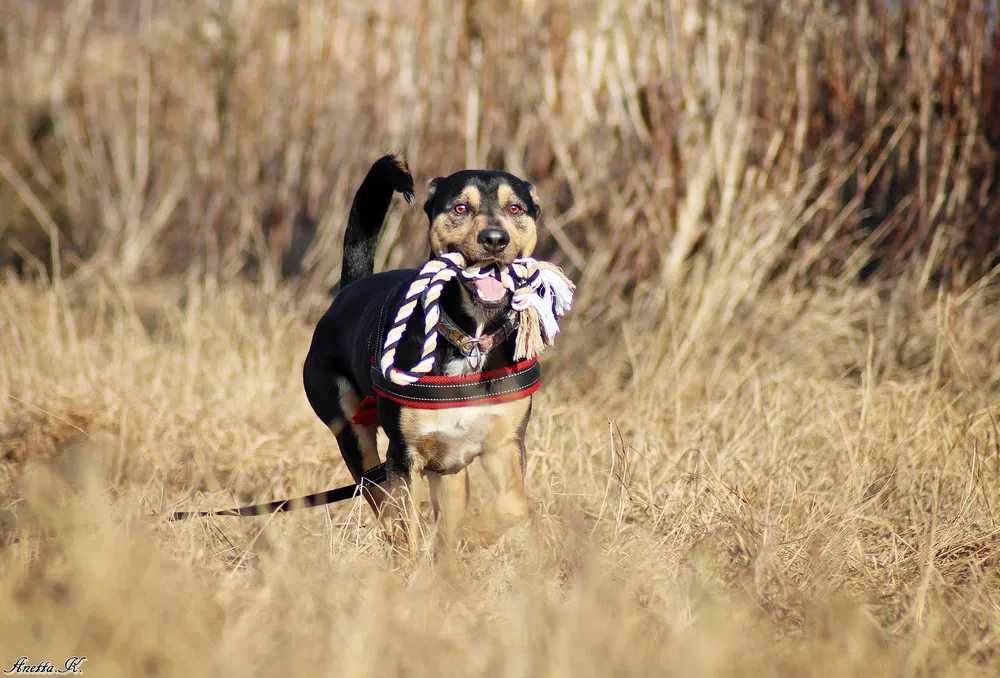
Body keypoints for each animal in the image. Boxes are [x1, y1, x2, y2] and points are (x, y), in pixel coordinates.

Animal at [302, 154, 548, 552]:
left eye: (515, 208)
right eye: (460, 207)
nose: (495, 239)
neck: (470, 337)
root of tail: (349, 290)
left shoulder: (505, 446)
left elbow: (512, 508)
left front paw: (471, 535)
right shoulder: (404, 458)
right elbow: (406, 525)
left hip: (448, 468)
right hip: (354, 437)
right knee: (382, 504)